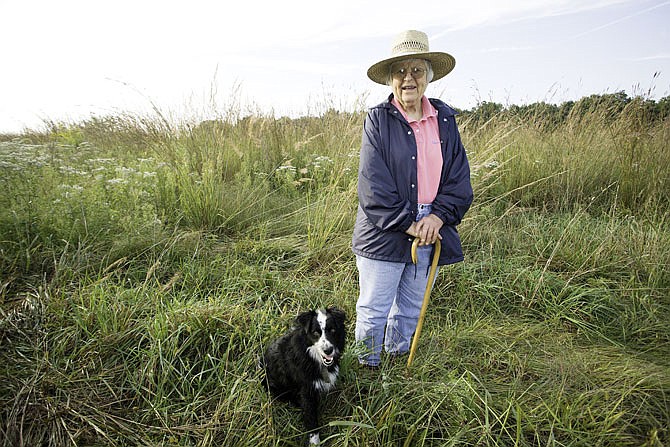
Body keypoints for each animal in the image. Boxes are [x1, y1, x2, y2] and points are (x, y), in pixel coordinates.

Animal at [262, 310, 350, 446]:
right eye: (315, 333)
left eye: (333, 330)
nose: (328, 350)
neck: (313, 358)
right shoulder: (306, 391)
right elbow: (312, 420)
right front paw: (315, 442)